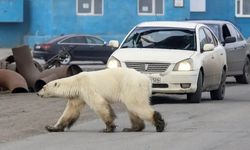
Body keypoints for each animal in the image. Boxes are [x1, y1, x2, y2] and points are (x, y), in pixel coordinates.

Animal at [37, 68, 166, 132]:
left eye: (43, 87)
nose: (38, 93)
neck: (77, 82)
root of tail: (147, 80)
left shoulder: (87, 88)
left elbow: (99, 104)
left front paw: (108, 128)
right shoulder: (78, 96)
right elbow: (71, 111)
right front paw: (52, 127)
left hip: (132, 86)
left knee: (135, 105)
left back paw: (159, 124)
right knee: (132, 109)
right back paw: (132, 128)